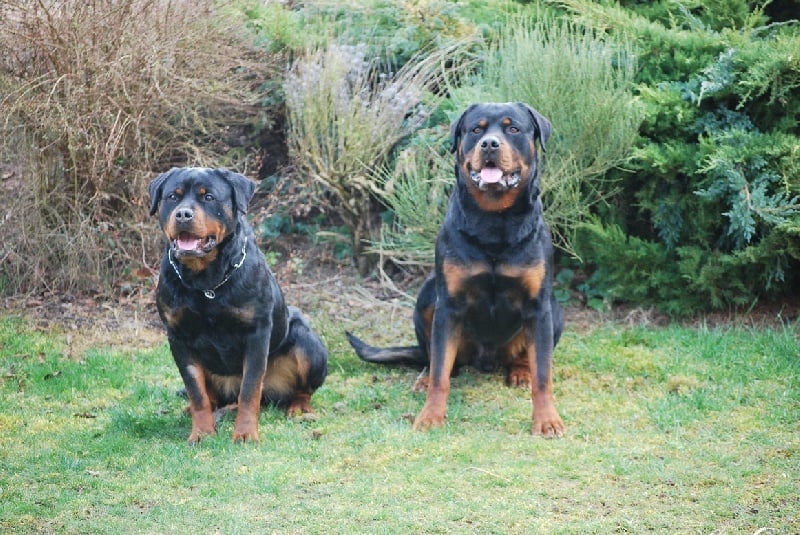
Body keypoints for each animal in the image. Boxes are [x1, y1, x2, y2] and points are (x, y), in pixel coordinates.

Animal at [148, 168, 326, 444]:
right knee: (209, 395)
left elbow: (250, 389)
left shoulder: (257, 333)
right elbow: (195, 390)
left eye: (208, 197)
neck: (206, 281)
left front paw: (245, 433)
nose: (183, 214)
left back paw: (299, 407)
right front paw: (202, 432)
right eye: (172, 197)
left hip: (308, 344)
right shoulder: (178, 337)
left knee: (300, 388)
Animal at [346, 102, 564, 438]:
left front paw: (547, 419)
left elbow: (543, 374)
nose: (490, 144)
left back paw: (520, 372)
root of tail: (486, 360)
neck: (494, 222)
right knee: (438, 360)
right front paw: (430, 415)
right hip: (428, 296)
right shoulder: (448, 305)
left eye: (513, 128)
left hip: (555, 310)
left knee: (527, 359)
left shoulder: (539, 307)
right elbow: (440, 372)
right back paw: (423, 378)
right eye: (476, 129)